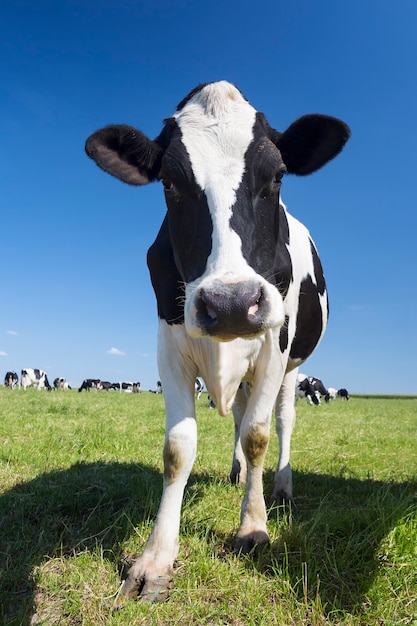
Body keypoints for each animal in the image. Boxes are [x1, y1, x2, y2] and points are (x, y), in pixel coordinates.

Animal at [86, 79, 350, 600]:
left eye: (278, 176)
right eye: (169, 183)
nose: (231, 303)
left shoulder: (274, 348)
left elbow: (258, 435)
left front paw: (253, 528)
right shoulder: (169, 343)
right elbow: (178, 448)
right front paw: (155, 559)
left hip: (293, 369)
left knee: (281, 421)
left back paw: (281, 487)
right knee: (240, 414)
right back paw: (236, 473)